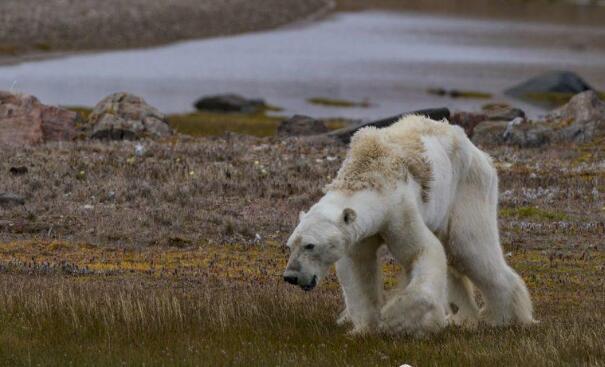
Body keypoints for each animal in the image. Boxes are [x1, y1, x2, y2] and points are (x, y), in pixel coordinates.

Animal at [284, 115, 532, 336]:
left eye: (310, 245)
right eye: (290, 245)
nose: (290, 277)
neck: (369, 173)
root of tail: (481, 153)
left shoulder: (399, 210)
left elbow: (422, 251)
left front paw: (396, 319)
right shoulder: (360, 233)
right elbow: (358, 268)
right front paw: (363, 328)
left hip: (467, 188)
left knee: (469, 248)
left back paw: (502, 318)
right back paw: (462, 317)